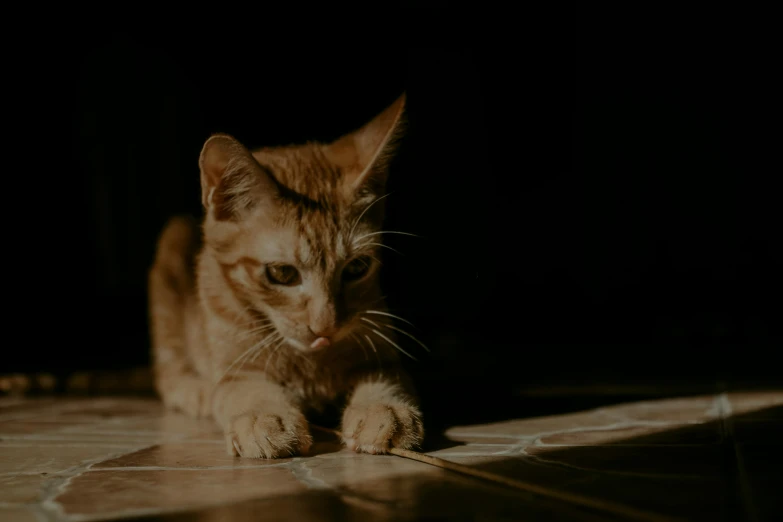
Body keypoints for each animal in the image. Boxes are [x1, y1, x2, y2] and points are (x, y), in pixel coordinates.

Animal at [149, 93, 426, 456]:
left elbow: (386, 378)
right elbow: (247, 388)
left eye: (357, 268)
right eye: (282, 273)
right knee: (167, 372)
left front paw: (384, 408)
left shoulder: (380, 355)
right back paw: (194, 390)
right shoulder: (236, 370)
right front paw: (265, 415)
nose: (326, 328)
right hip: (173, 245)